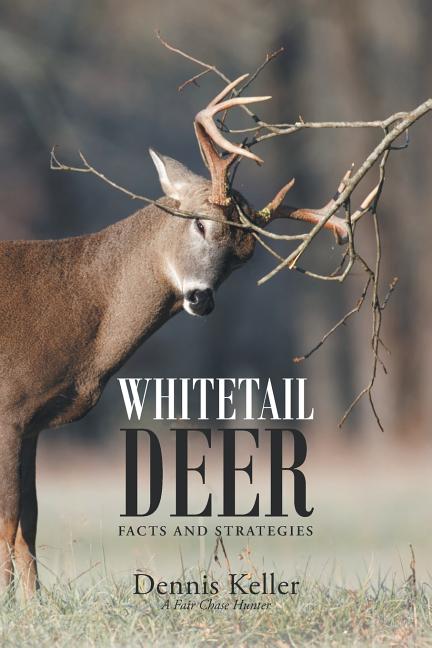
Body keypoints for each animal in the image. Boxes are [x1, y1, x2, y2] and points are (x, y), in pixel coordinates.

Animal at [0, 74, 359, 598]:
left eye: (245, 257)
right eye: (199, 223)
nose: (201, 298)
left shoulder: (32, 422)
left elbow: (29, 521)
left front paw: (32, 603)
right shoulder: (10, 407)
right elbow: (9, 522)